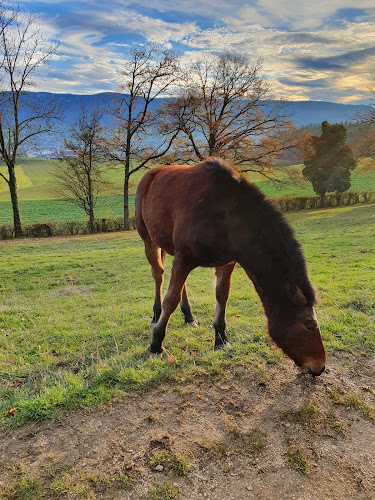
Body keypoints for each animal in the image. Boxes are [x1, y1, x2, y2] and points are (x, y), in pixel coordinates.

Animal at [135, 157, 326, 376]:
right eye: (310, 325)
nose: (320, 366)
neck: (226, 214)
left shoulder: (226, 262)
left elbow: (221, 295)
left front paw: (220, 338)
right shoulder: (184, 259)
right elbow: (170, 300)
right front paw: (156, 344)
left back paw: (189, 316)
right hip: (149, 240)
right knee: (158, 275)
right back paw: (156, 315)